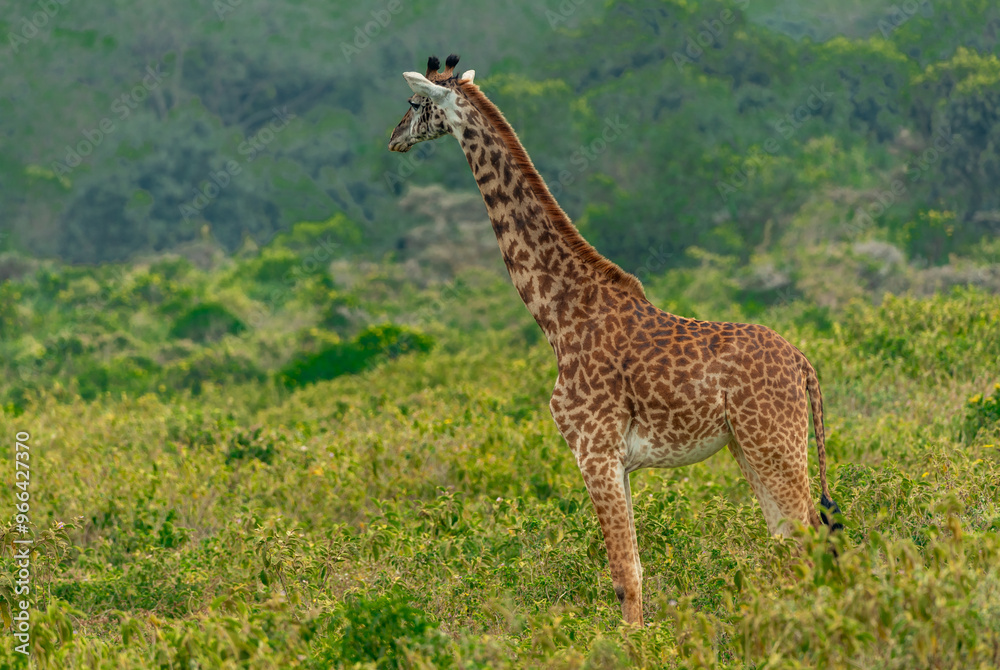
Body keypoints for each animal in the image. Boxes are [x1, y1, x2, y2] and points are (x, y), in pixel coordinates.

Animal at [388, 54, 842, 626]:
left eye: (414, 103)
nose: (393, 139)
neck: (558, 315)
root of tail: (804, 363)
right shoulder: (616, 459)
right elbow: (635, 568)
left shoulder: (593, 447)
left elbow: (624, 573)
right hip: (749, 444)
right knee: (788, 536)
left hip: (772, 439)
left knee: (807, 533)